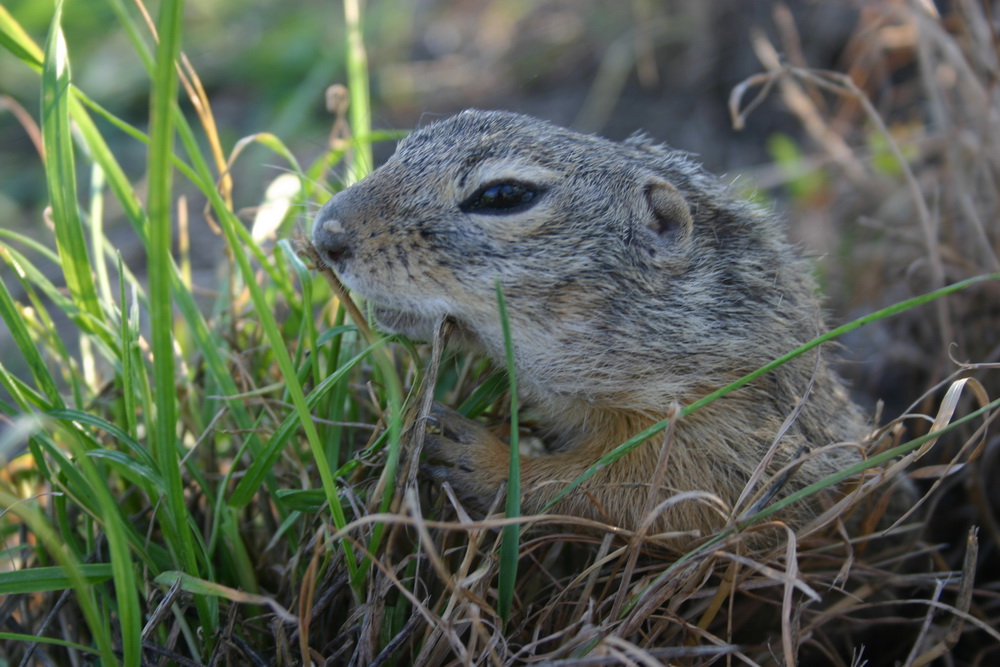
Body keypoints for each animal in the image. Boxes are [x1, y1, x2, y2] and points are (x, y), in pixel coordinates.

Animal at [312, 109, 868, 544]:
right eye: (405, 146)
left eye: (504, 195)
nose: (324, 234)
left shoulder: (729, 430)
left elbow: (632, 495)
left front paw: (478, 454)